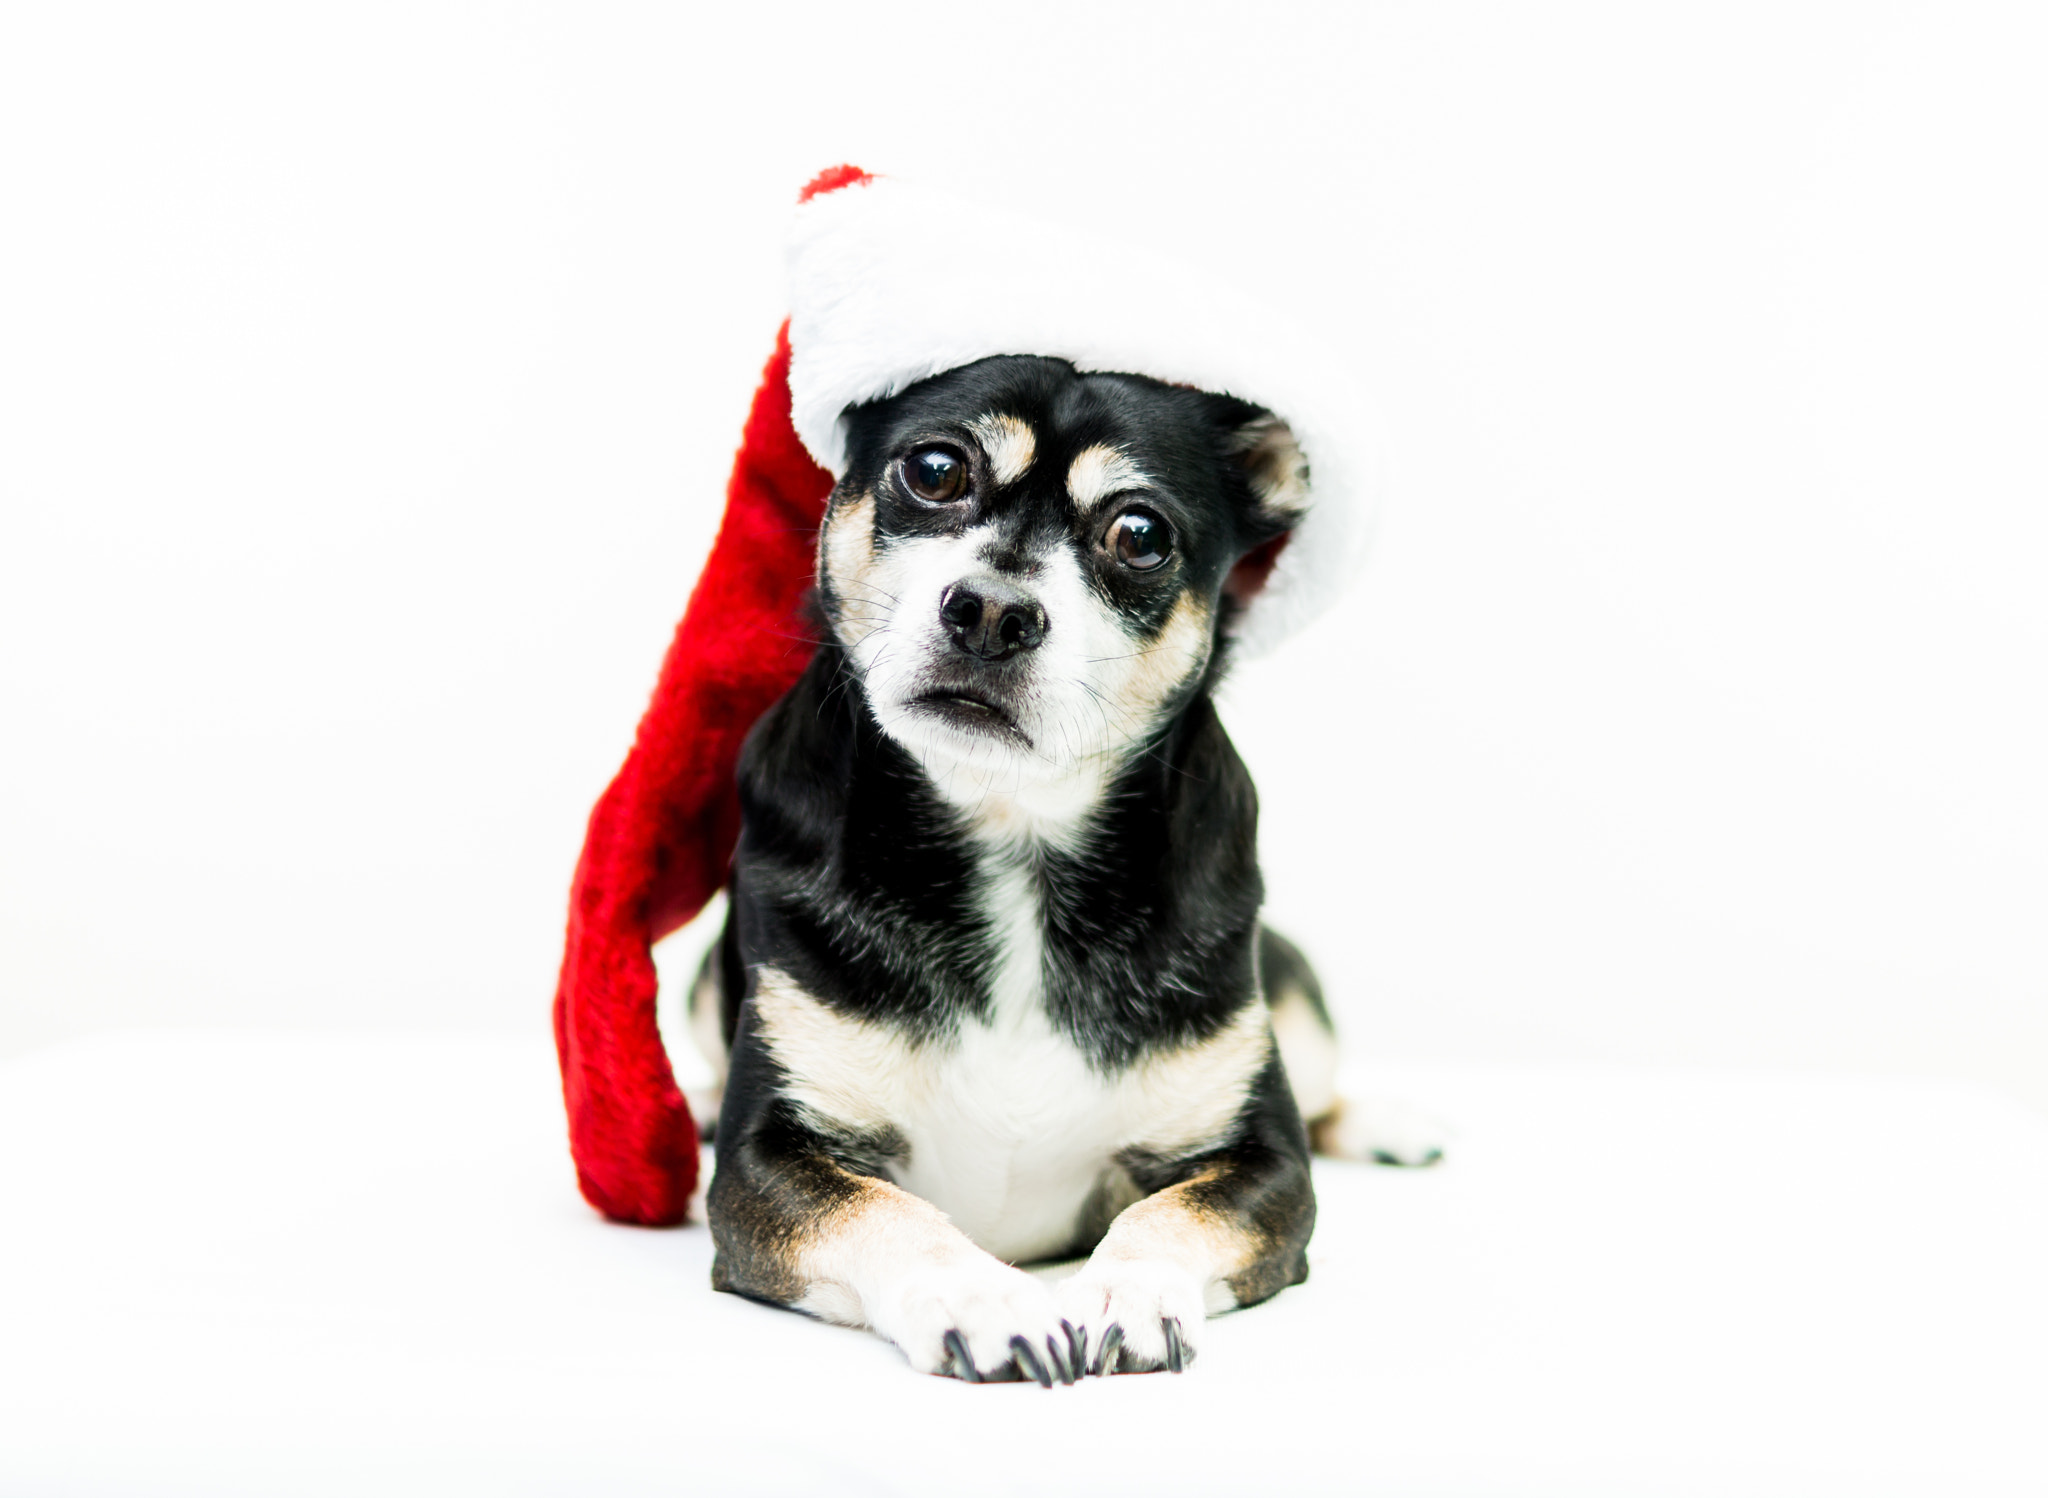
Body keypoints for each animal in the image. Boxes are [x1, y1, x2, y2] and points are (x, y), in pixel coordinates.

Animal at [679, 352, 1433, 1385]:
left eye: (1140, 534)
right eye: (936, 470)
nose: (993, 611)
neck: (1015, 835)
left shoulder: (1265, 1167)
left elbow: (1168, 1213)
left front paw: (1131, 1292)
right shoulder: (766, 1164)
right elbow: (891, 1216)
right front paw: (982, 1298)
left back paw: (1388, 1124)